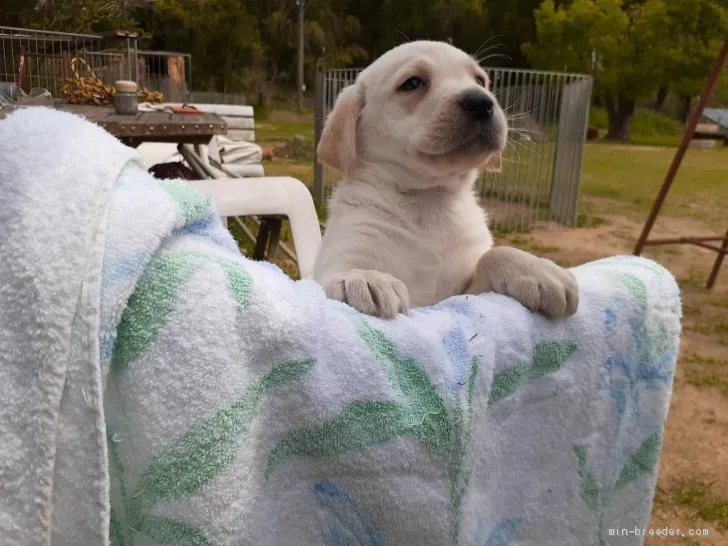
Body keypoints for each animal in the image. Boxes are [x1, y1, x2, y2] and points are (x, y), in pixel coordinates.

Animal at [312, 41, 580, 318]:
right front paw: (362, 277)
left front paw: (535, 267)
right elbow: (342, 269)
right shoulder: (346, 249)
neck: (432, 200)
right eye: (413, 83)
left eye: (480, 81)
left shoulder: (461, 295)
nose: (481, 102)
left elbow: (493, 255)